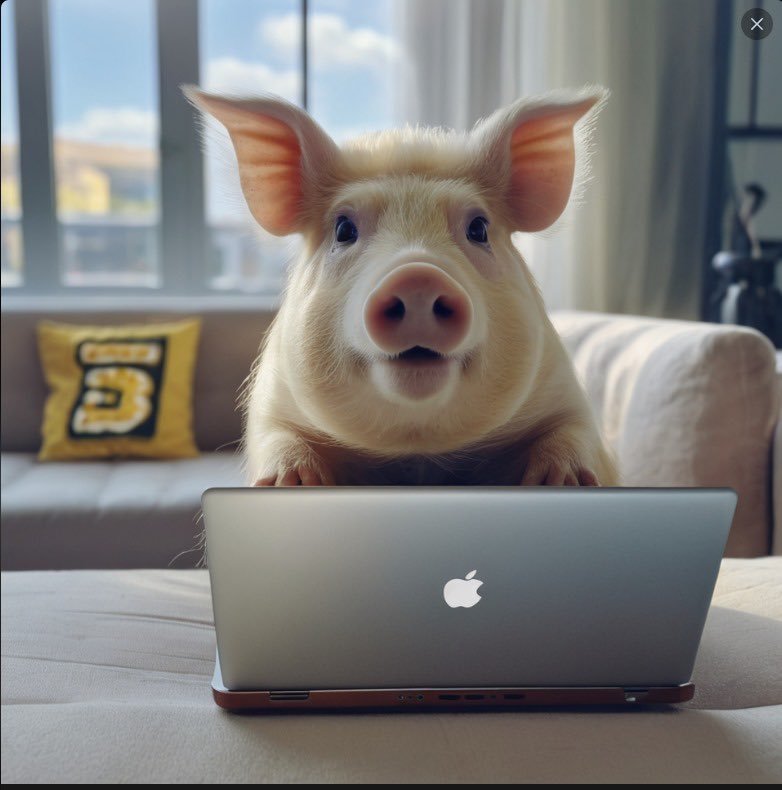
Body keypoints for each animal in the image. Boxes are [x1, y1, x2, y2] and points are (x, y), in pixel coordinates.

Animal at [184, 85, 619, 488]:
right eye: (344, 229)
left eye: (478, 228)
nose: (417, 276)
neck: (417, 455)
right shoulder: (273, 403)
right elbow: (279, 440)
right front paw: (288, 483)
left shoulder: (565, 394)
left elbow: (572, 435)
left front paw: (566, 481)